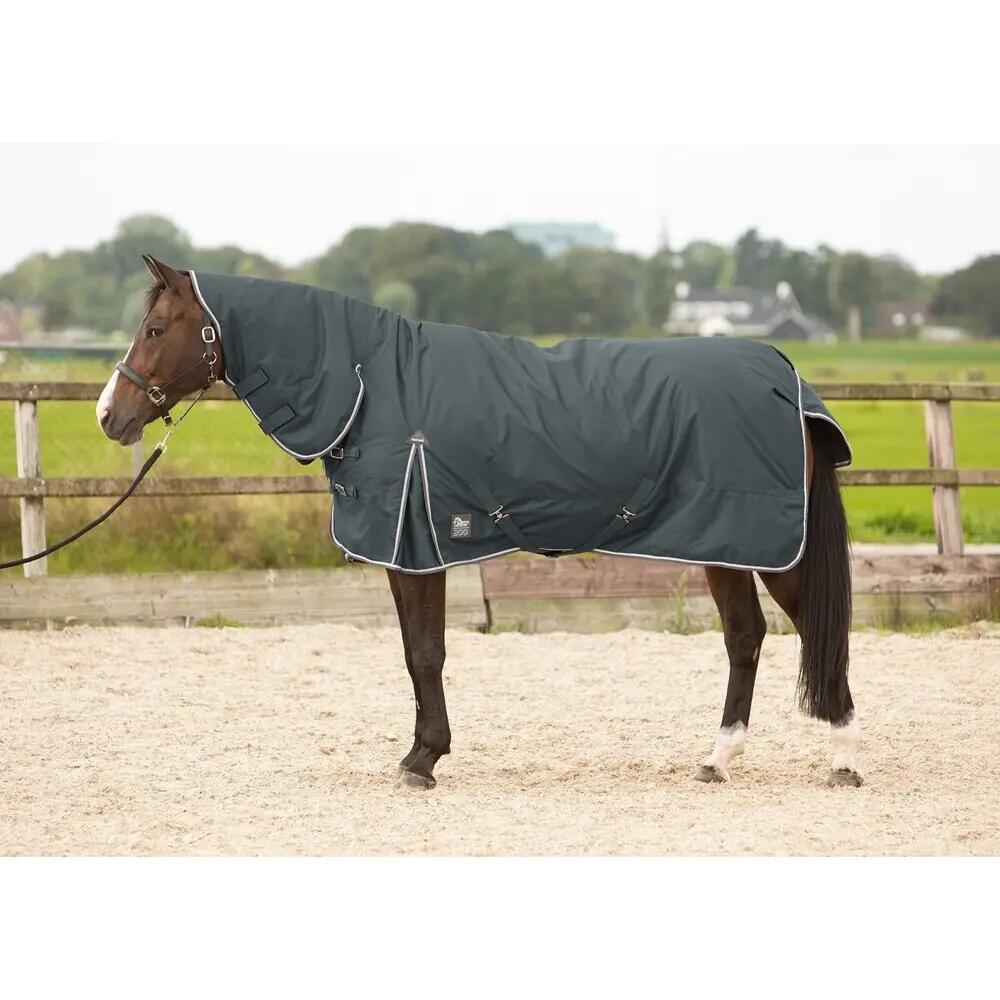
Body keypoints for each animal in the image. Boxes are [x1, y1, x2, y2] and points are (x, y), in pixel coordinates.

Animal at [97, 255, 861, 790]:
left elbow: (426, 654)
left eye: (155, 330)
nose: (110, 415)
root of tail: (784, 373)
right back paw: (717, 759)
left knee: (817, 632)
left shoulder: (417, 548)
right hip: (723, 541)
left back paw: (842, 757)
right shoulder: (410, 552)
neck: (372, 384)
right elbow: (416, 652)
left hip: (768, 545)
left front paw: (422, 760)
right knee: (745, 637)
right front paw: (420, 753)